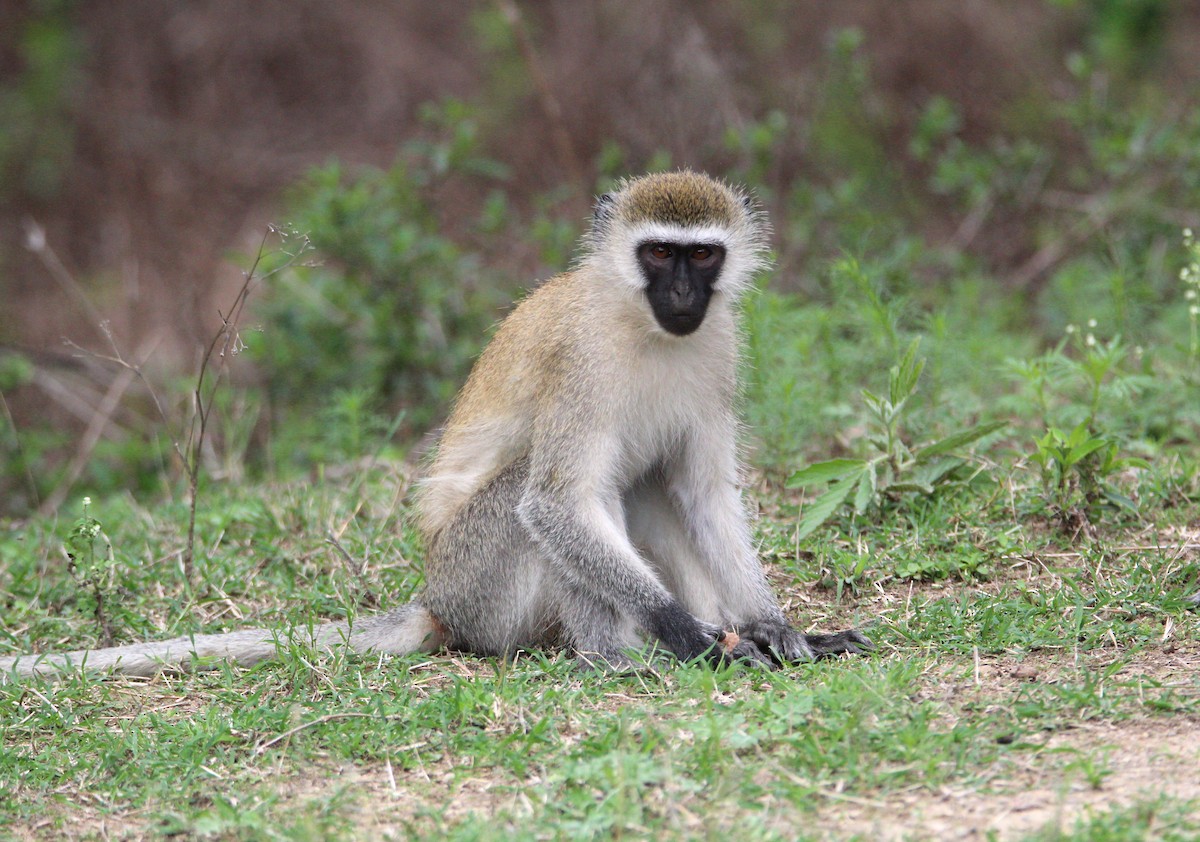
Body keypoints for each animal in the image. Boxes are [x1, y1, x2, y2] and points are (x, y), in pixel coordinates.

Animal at [0, 171, 870, 681]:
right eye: (658, 255)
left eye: (703, 256)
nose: (685, 297)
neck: (645, 327)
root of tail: (437, 601)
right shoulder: (578, 364)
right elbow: (556, 505)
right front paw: (683, 632)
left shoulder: (720, 351)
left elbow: (705, 494)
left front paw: (775, 627)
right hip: (479, 585)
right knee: (541, 500)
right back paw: (617, 657)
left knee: (651, 486)